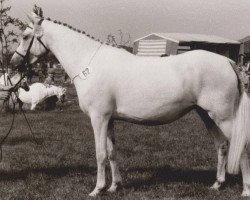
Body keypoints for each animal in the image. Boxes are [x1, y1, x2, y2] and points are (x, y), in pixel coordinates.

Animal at [10, 9, 250, 197]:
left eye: (25, 36)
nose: (13, 63)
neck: (89, 64)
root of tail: (228, 62)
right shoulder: (109, 120)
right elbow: (112, 152)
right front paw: (114, 186)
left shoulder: (98, 118)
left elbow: (100, 154)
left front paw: (97, 189)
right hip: (207, 115)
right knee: (222, 145)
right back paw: (217, 184)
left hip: (224, 117)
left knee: (242, 146)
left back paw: (245, 190)